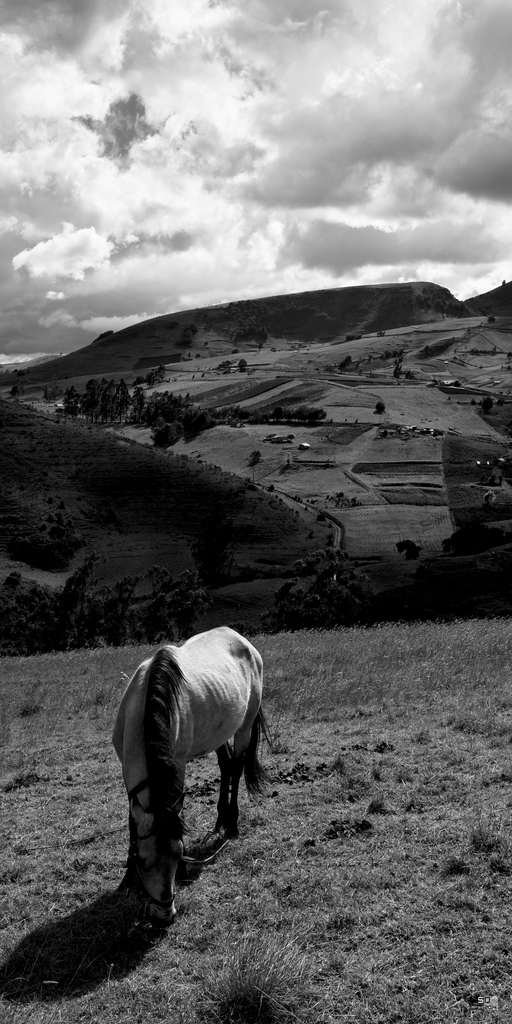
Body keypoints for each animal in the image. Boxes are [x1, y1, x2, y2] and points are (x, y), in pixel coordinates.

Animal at [112, 622, 268, 929]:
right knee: (226, 765)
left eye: (177, 855)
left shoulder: (177, 766)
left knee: (237, 766)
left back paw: (232, 823)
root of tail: (240, 639)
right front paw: (127, 878)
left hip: (244, 726)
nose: (164, 916)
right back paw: (220, 819)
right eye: (142, 860)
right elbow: (132, 818)